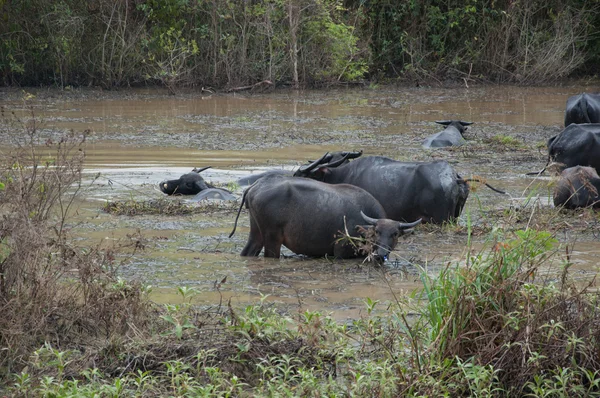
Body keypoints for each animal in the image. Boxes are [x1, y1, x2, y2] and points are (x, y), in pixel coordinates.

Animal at [227, 174, 420, 262]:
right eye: (377, 231)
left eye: (395, 234)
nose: (381, 255)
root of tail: (256, 185)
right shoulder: (340, 253)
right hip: (272, 238)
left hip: (256, 231)